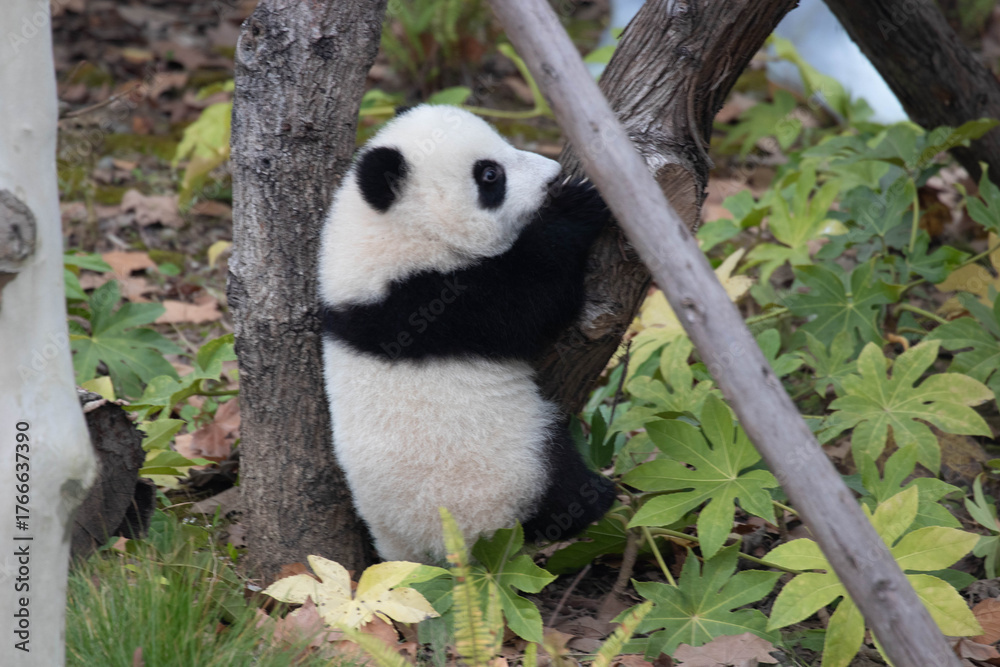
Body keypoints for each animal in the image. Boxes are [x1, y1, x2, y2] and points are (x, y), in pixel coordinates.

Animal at [318, 104, 617, 563]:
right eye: (490, 175)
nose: (552, 175)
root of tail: (426, 555)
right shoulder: (427, 301)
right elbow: (530, 302)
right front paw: (576, 206)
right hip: (512, 467)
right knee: (558, 487)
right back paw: (597, 497)